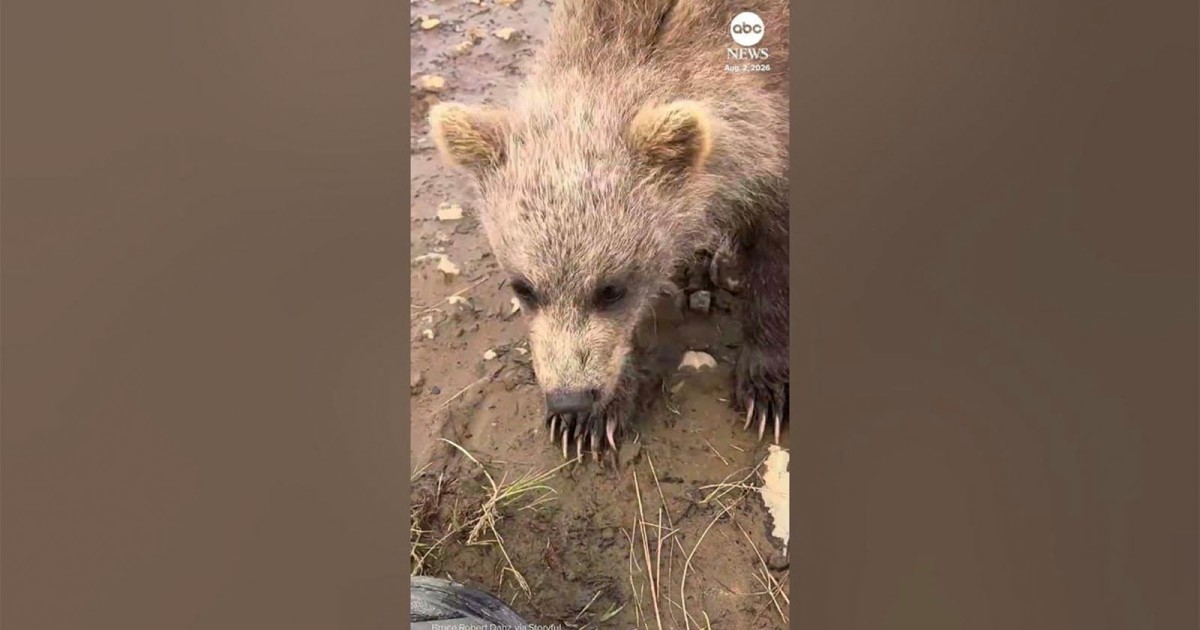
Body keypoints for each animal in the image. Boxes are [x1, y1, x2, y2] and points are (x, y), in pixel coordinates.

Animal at [428, 0, 789, 463]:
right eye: (524, 288)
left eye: (612, 289)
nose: (570, 400)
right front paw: (590, 422)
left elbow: (776, 262)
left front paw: (768, 387)